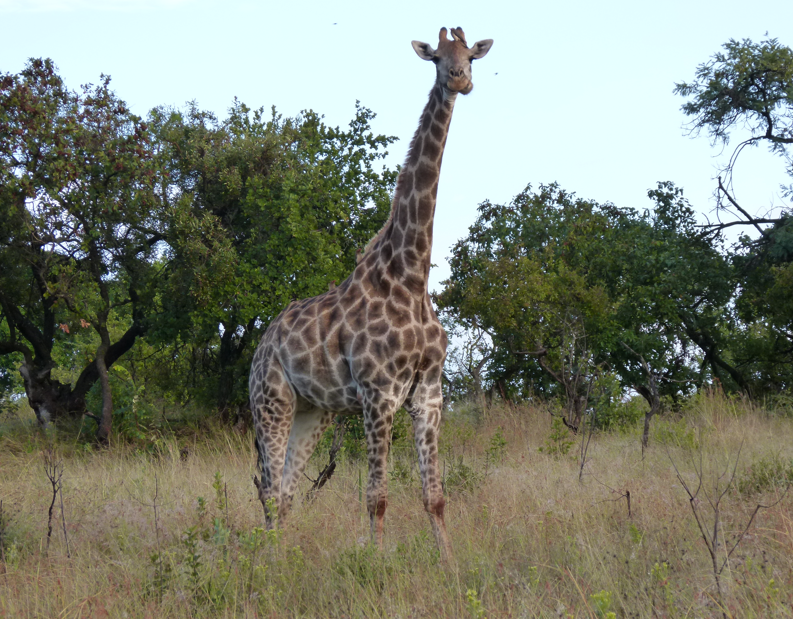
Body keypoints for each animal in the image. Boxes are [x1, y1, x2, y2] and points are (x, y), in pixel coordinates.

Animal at [248, 27, 493, 560]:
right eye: (437, 58)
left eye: (471, 56)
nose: (460, 81)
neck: (411, 276)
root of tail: (262, 343)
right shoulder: (379, 395)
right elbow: (377, 497)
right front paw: (378, 564)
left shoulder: (428, 395)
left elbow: (435, 496)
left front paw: (450, 565)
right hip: (270, 401)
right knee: (269, 488)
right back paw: (270, 562)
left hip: (314, 411)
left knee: (288, 491)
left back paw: (284, 558)